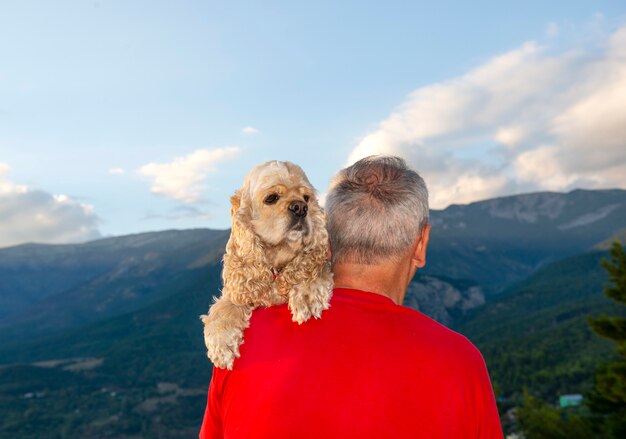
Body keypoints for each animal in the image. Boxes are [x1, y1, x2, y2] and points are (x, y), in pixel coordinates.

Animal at [200, 162, 332, 372]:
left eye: (306, 198)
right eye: (272, 198)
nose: (301, 208)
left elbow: (316, 270)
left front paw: (307, 293)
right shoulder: (240, 290)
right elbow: (223, 307)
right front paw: (222, 343)